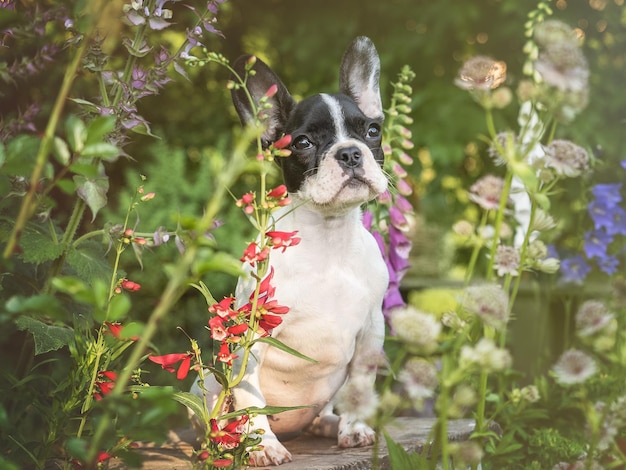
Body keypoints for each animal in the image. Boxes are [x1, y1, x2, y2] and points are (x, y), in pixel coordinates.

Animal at [194, 36, 390, 466]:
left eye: (371, 131)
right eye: (303, 142)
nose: (350, 152)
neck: (330, 236)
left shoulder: (371, 331)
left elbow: (360, 386)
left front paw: (355, 427)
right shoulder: (252, 335)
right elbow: (249, 394)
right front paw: (263, 445)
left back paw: (329, 425)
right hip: (212, 381)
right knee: (219, 410)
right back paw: (229, 443)